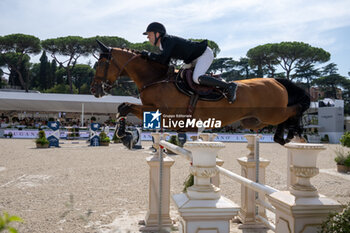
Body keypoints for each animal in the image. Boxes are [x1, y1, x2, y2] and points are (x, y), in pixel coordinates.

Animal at [90, 41, 308, 145]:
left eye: (99, 64)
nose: (94, 89)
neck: (156, 78)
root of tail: (276, 80)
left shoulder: (166, 114)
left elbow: (125, 106)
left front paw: (124, 135)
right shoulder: (152, 110)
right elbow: (123, 107)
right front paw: (125, 135)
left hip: (272, 113)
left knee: (295, 109)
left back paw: (292, 133)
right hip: (255, 121)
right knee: (286, 115)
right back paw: (284, 136)